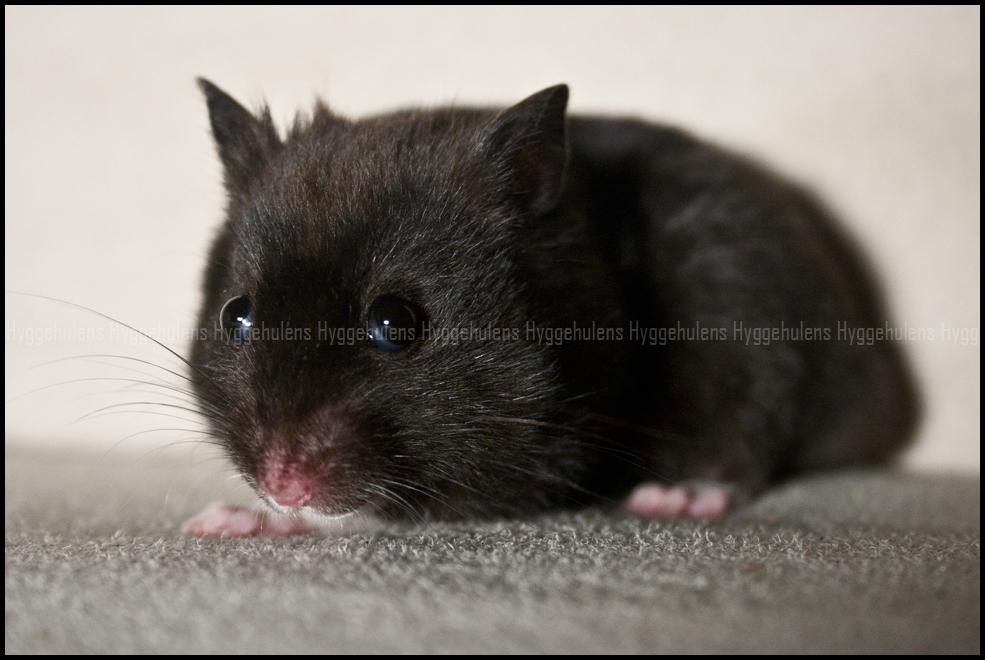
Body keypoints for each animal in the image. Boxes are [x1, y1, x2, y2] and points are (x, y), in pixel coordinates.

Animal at [182, 79, 919, 537]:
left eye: (395, 323)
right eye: (236, 317)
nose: (282, 482)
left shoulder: (542, 448)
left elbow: (393, 505)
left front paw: (244, 518)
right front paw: (220, 520)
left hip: (748, 340)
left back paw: (673, 498)